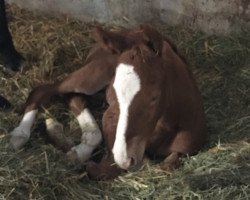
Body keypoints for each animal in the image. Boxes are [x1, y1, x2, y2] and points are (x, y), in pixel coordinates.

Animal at [9, 25, 206, 180]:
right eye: (113, 93)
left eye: (154, 97)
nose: (125, 158)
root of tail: (124, 31)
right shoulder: (110, 120)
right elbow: (100, 169)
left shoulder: (186, 148)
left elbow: (167, 165)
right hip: (92, 75)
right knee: (43, 90)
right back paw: (20, 135)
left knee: (74, 98)